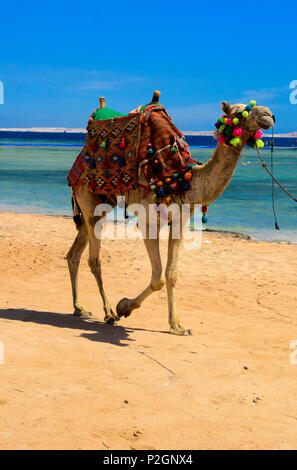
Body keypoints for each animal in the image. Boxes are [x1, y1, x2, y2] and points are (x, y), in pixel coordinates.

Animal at [66, 95, 274, 336]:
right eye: (240, 112)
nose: (268, 115)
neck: (180, 179)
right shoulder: (148, 221)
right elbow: (157, 277)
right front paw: (123, 306)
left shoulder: (180, 222)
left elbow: (171, 274)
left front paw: (177, 325)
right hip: (88, 197)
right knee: (94, 259)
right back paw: (108, 312)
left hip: (99, 204)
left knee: (74, 253)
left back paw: (79, 307)